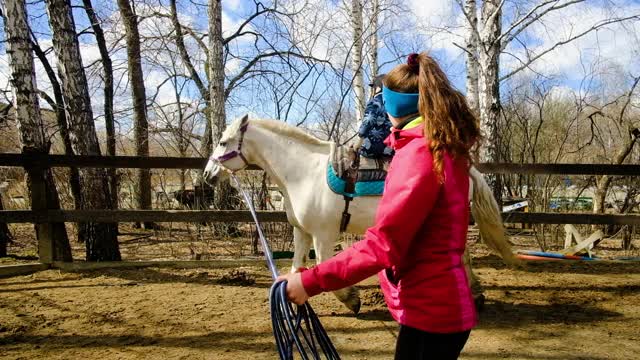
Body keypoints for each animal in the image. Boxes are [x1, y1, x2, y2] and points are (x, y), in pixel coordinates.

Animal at [205, 115, 520, 312]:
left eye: (222, 142)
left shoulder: (323, 235)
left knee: (461, 256)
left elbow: (322, 265)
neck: (304, 171)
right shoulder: (302, 232)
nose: (208, 174)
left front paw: (352, 299)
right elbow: (297, 267)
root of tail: (468, 168)